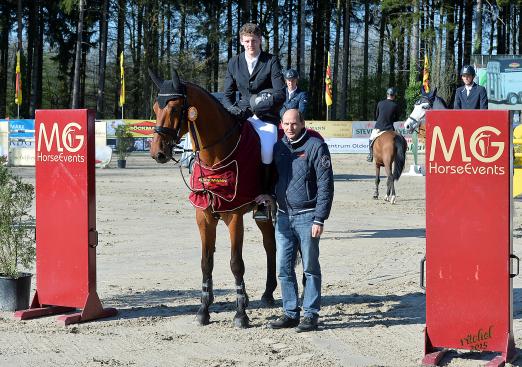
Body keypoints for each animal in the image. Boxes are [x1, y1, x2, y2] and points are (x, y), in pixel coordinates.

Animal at [147, 70, 276, 330]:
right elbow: (206, 262)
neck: (215, 155)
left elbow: (236, 263)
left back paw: (268, 294)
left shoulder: (234, 216)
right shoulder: (204, 215)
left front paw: (241, 314)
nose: (158, 152)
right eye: (156, 108)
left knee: (270, 245)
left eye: (175, 108)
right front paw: (204, 310)